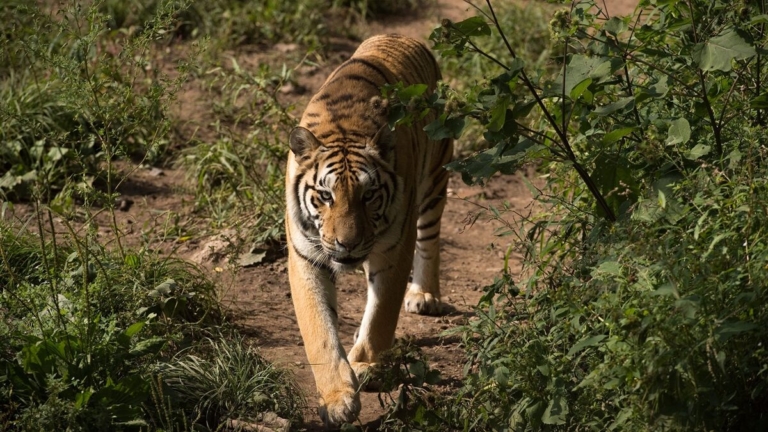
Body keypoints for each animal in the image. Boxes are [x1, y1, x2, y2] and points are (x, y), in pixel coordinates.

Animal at [284, 33, 453, 426]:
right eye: (326, 196)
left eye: (369, 195)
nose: (348, 243)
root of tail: (399, 36)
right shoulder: (305, 258)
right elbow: (320, 331)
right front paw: (337, 399)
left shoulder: (393, 251)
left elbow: (382, 314)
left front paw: (366, 367)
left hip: (435, 179)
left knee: (430, 239)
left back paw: (424, 295)